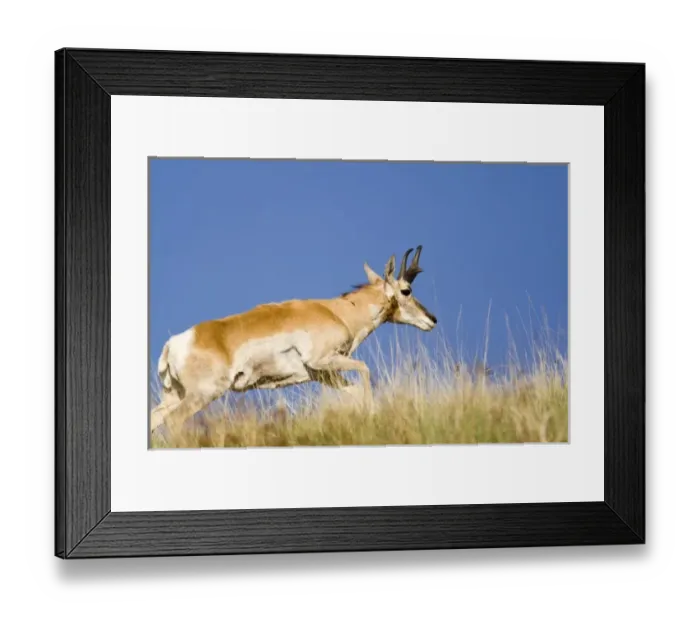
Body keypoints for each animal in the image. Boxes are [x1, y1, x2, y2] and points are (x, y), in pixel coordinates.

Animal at [150, 246, 437, 434]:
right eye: (406, 290)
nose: (432, 319)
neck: (337, 311)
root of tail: (175, 343)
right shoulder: (324, 361)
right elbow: (365, 371)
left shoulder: (321, 374)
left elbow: (354, 391)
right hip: (203, 394)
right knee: (174, 421)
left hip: (175, 396)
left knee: (155, 419)